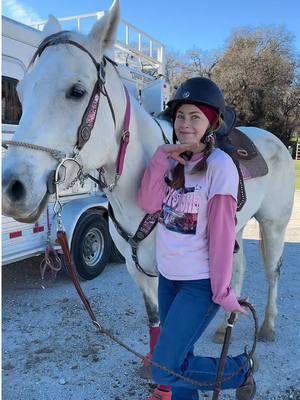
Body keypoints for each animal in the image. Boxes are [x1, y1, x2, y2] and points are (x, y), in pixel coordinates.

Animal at [1, 0, 294, 360]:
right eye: (20, 91)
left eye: (77, 91)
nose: (13, 189)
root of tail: (274, 139)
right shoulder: (138, 270)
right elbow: (155, 320)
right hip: (234, 228)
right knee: (237, 268)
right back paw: (225, 324)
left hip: (273, 225)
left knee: (272, 271)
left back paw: (267, 326)